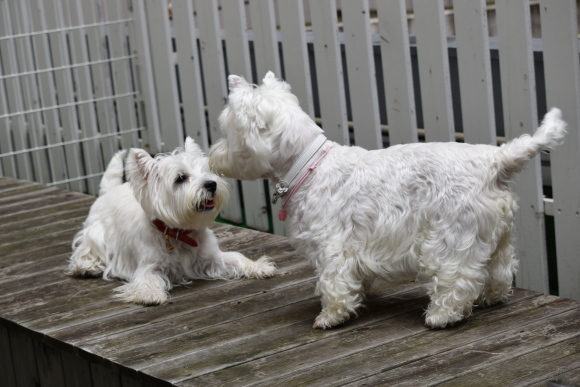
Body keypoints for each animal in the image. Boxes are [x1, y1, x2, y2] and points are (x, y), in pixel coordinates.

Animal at [68, 138, 276, 304]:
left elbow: (236, 258)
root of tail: (108, 191)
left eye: (206, 171)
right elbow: (147, 279)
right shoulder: (149, 265)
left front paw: (259, 267)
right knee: (84, 251)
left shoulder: (211, 258)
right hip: (96, 233)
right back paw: (88, 267)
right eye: (180, 178)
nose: (211, 184)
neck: (180, 233)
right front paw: (150, 294)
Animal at [210, 72, 568, 330]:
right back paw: (489, 299)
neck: (306, 165)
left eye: (227, 132)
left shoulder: (332, 246)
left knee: (457, 279)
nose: (213, 156)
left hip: (449, 238)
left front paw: (330, 317)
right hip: (498, 235)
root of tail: (495, 161)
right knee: (500, 271)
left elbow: (334, 283)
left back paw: (441, 316)